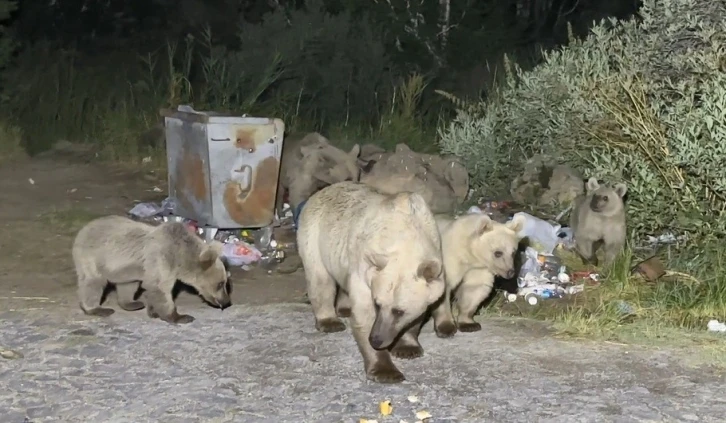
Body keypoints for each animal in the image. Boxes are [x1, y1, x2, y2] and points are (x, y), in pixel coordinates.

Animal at [71, 217, 230, 322]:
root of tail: (83, 229)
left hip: (126, 269)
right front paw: (181, 317)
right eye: (220, 283)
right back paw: (97, 309)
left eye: (225, 283)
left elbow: (153, 288)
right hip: (92, 257)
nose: (226, 301)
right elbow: (160, 288)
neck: (180, 257)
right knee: (93, 283)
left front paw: (153, 312)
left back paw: (132, 303)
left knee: (128, 285)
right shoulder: (161, 259)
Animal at [298, 182, 450, 384]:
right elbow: (364, 314)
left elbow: (417, 315)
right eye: (377, 303)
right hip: (314, 234)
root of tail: (322, 191)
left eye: (399, 311)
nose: (376, 339)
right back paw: (330, 321)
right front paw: (385, 371)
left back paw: (344, 308)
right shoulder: (366, 268)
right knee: (320, 279)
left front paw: (407, 348)